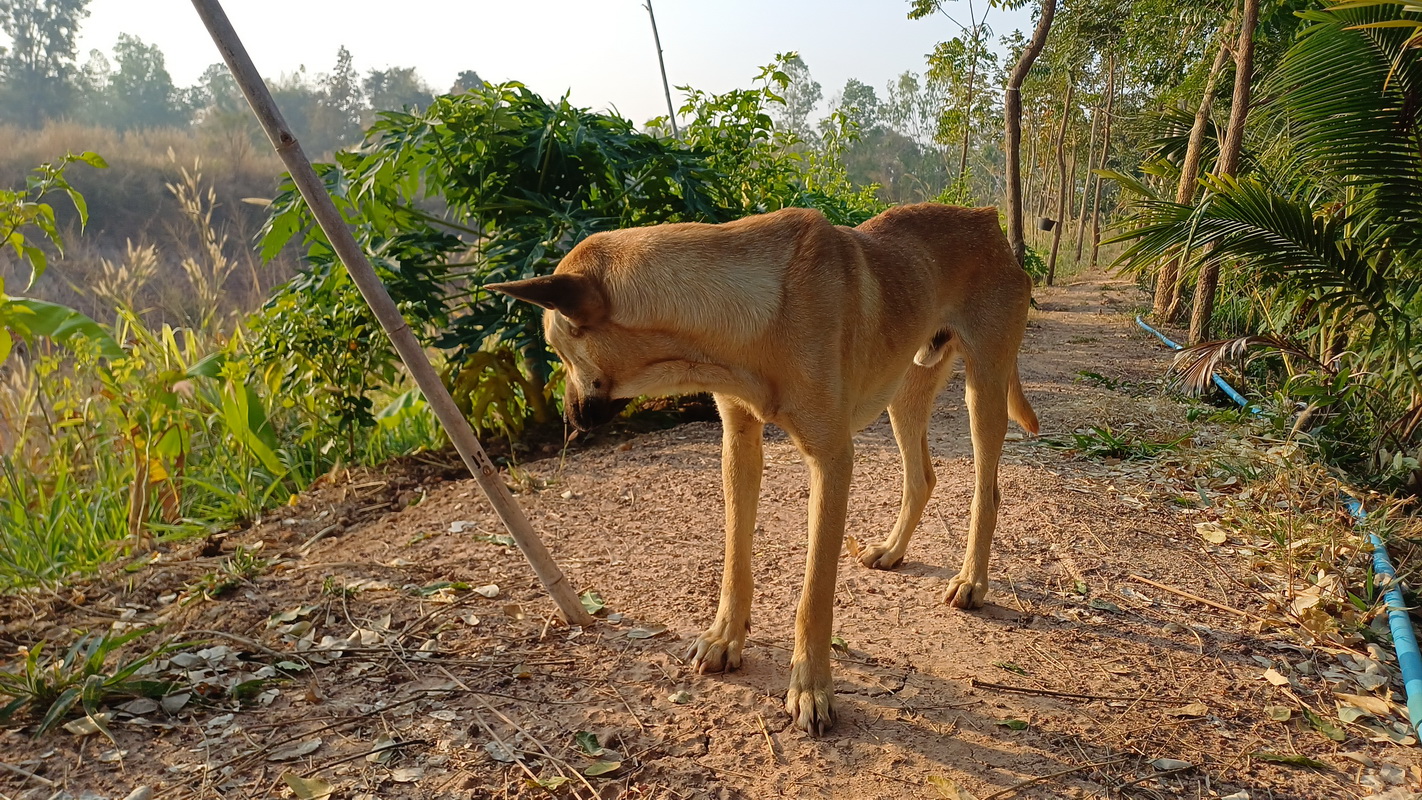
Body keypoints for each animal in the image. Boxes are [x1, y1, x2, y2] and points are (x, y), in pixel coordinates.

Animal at [488, 203, 1038, 735]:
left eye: (558, 351)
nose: (567, 421)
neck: (756, 311)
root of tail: (986, 219)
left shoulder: (832, 460)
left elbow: (814, 595)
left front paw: (811, 688)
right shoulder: (739, 444)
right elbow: (735, 556)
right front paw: (724, 638)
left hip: (983, 389)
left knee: (986, 492)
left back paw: (971, 581)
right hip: (906, 389)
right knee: (921, 477)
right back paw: (892, 550)